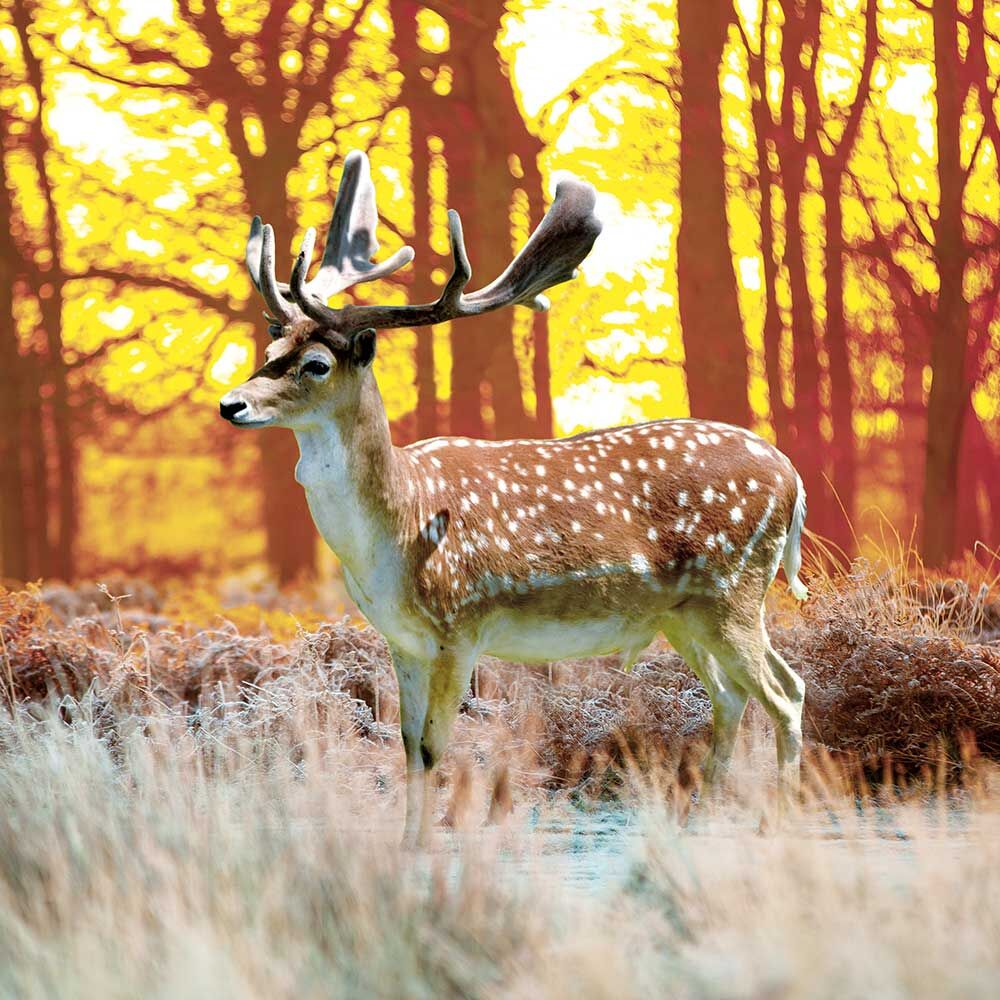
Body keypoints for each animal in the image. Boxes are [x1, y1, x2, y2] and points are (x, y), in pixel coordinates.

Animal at [219, 150, 804, 844]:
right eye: (269, 349)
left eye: (316, 364)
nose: (231, 404)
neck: (398, 527)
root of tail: (791, 476)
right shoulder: (402, 639)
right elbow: (406, 746)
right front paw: (405, 846)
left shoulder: (461, 625)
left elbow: (435, 749)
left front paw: (427, 847)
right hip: (684, 613)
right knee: (733, 696)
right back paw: (701, 824)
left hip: (734, 590)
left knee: (786, 692)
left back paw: (780, 825)